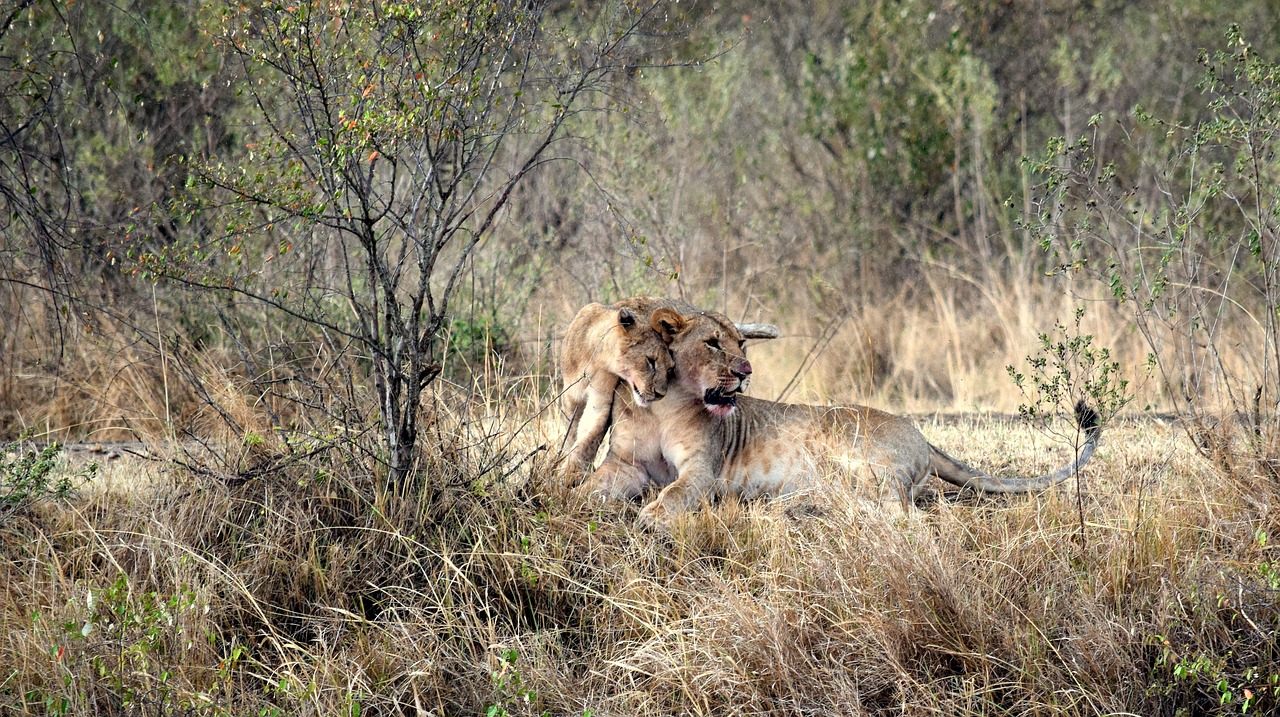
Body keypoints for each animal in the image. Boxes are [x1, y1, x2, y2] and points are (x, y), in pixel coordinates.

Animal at [586, 311, 1105, 530]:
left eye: (742, 345)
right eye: (713, 343)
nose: (746, 371)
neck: (663, 404)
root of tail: (920, 433)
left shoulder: (703, 470)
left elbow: (676, 491)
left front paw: (653, 516)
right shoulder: (626, 464)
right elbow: (590, 485)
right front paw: (570, 496)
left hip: (855, 456)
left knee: (904, 513)